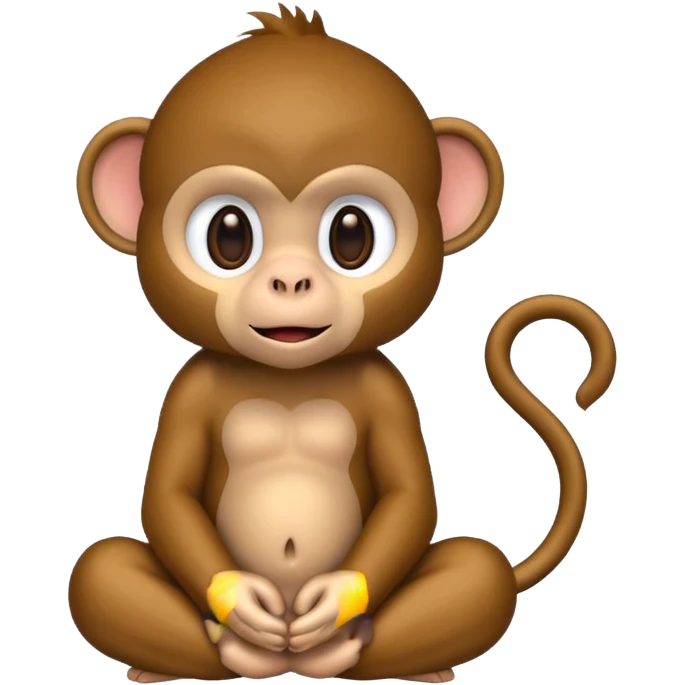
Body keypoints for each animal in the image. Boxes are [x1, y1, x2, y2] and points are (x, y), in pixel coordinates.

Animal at [68, 4, 618, 683]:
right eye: (229, 235)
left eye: (351, 235)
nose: (290, 281)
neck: (289, 378)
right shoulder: (189, 389)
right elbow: (167, 497)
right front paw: (243, 604)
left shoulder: (388, 389)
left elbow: (410, 496)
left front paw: (331, 604)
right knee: (99, 570)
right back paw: (226, 651)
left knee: (477, 572)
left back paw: (351, 648)